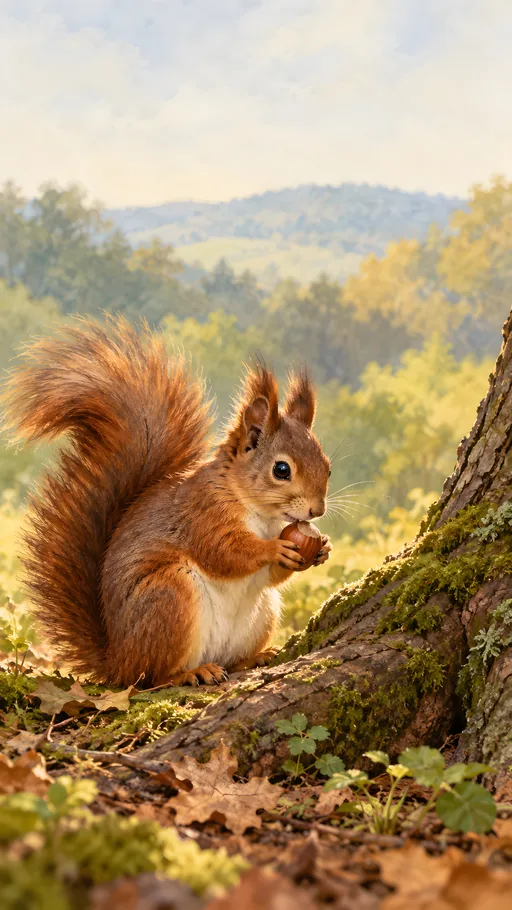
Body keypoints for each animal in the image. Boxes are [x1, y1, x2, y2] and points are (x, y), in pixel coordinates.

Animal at [3, 317, 332, 687]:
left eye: (328, 466)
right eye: (281, 469)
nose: (317, 510)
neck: (260, 512)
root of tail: (117, 662)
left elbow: (271, 577)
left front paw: (321, 549)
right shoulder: (201, 513)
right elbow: (224, 552)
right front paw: (274, 549)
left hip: (261, 613)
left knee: (229, 660)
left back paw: (253, 658)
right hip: (169, 597)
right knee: (153, 676)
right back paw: (191, 672)